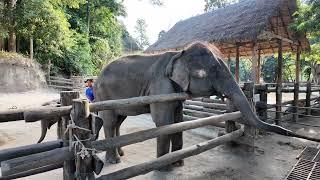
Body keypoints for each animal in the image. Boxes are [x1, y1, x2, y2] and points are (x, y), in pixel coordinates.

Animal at [93, 42, 320, 169]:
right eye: (209, 72)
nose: (288, 132)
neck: (178, 53)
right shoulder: (160, 87)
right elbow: (164, 122)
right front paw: (163, 167)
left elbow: (177, 120)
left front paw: (178, 163)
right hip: (103, 94)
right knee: (110, 121)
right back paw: (115, 161)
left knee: (118, 121)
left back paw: (121, 154)